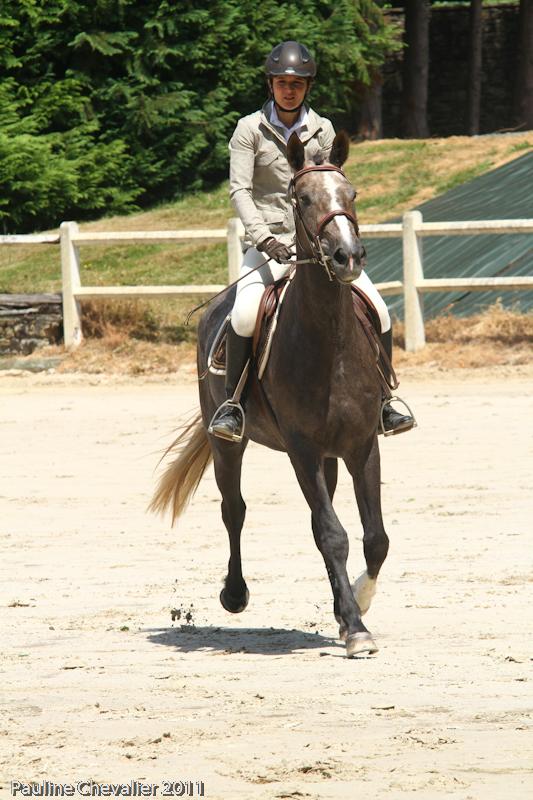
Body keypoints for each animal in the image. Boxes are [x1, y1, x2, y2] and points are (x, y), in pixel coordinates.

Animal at [151, 131, 390, 658]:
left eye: (352, 194)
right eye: (303, 199)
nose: (348, 257)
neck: (331, 345)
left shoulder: (362, 444)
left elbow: (373, 538)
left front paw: (357, 607)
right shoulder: (301, 448)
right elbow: (333, 534)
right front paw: (357, 629)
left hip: (328, 456)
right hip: (228, 442)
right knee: (234, 510)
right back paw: (235, 594)